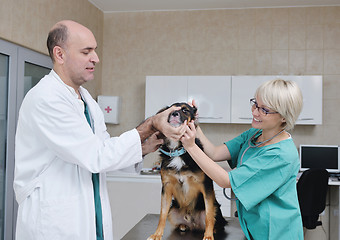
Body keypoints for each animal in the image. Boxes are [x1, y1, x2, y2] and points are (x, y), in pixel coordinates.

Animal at [147, 102, 227, 240]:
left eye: (185, 110)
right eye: (171, 109)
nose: (174, 113)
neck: (178, 150)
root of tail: (193, 222)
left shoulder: (206, 186)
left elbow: (209, 215)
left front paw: (208, 235)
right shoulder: (166, 187)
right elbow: (162, 214)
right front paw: (157, 234)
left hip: (216, 206)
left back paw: (214, 230)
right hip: (173, 209)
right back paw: (183, 226)